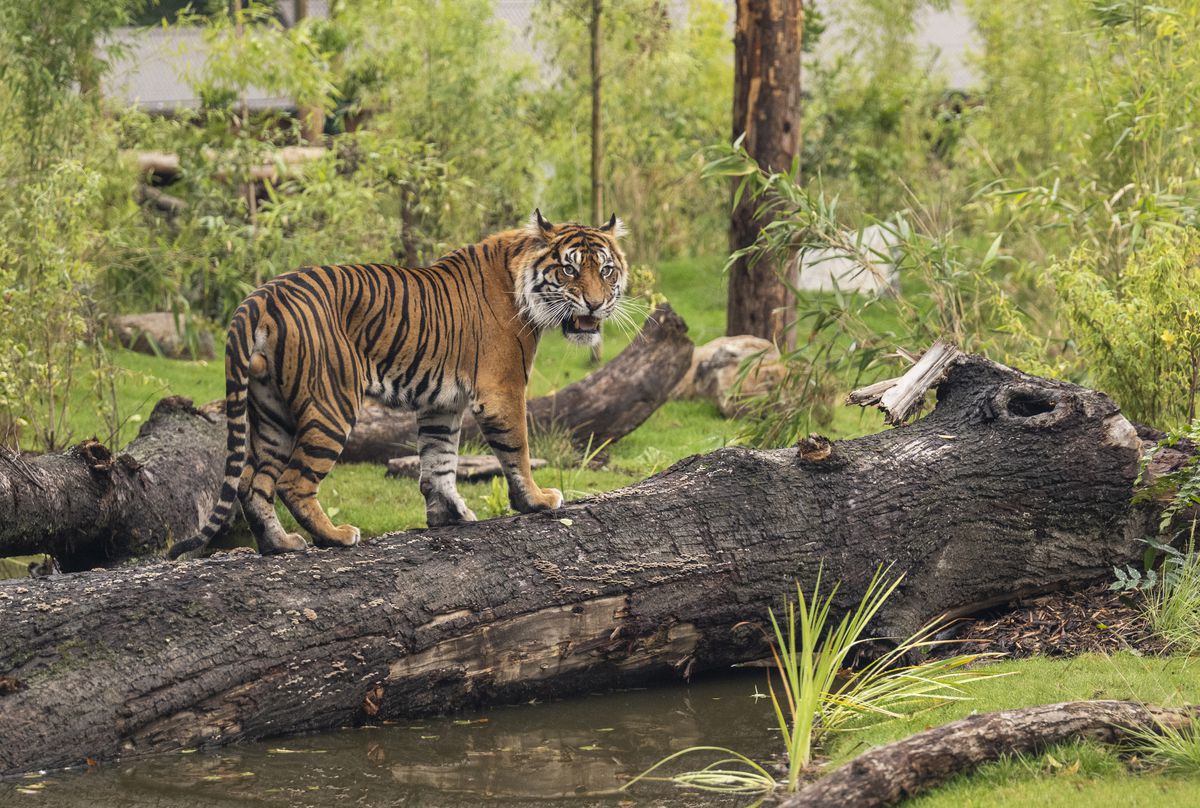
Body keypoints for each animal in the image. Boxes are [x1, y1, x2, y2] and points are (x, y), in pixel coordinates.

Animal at [172, 211, 633, 557]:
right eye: (569, 269)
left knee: (254, 482)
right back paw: (335, 536)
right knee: (293, 482)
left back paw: (281, 544)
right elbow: (516, 448)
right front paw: (536, 501)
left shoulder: (441, 404)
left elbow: (439, 461)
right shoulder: (502, 389)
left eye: (606, 270)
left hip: (271, 411)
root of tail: (260, 297)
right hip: (331, 404)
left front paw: (449, 516)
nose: (595, 304)